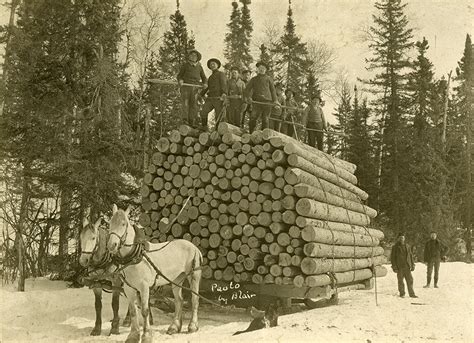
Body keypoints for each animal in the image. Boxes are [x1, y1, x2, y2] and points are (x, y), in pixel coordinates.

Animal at [107, 206, 202, 342]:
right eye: (110, 223)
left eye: (123, 224)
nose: (111, 245)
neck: (135, 257)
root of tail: (194, 247)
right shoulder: (129, 288)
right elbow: (133, 311)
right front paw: (133, 336)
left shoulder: (144, 287)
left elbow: (145, 311)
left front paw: (146, 336)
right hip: (177, 279)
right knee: (179, 300)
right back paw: (174, 327)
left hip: (193, 276)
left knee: (194, 299)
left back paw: (193, 326)